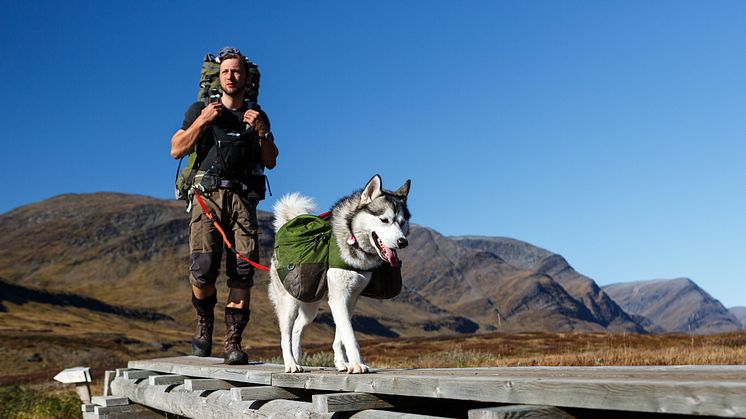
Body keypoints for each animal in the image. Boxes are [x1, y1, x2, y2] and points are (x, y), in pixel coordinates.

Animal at [268, 174, 410, 374]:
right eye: (384, 220)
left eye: (402, 223)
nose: (402, 242)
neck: (354, 239)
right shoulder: (339, 298)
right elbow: (349, 336)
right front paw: (357, 364)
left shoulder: (350, 299)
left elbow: (340, 336)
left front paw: (343, 363)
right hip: (290, 303)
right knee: (285, 335)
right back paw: (290, 363)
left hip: (311, 304)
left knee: (296, 329)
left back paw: (298, 359)